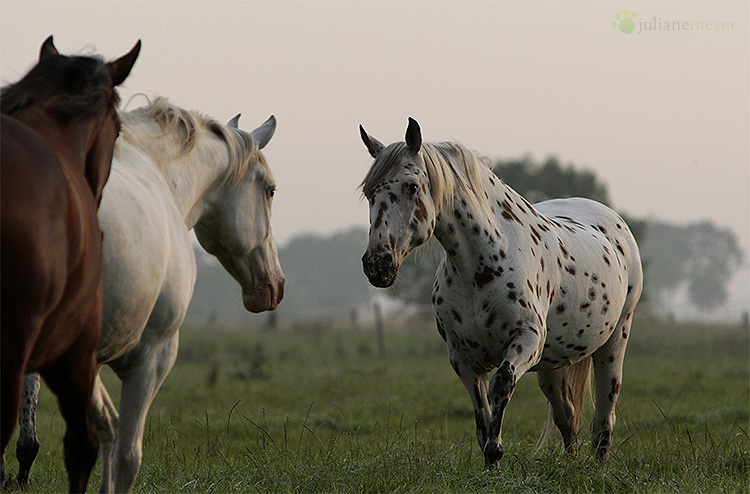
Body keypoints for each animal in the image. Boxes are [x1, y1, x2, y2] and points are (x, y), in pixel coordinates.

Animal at [17, 97, 290, 494]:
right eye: (270, 190)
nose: (275, 287)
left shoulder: (85, 357)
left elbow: (105, 429)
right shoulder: (152, 354)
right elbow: (126, 452)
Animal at [362, 118, 644, 466]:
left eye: (411, 187)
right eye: (369, 192)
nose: (377, 264)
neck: (479, 266)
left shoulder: (525, 340)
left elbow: (501, 384)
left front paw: (495, 450)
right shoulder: (462, 357)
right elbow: (481, 408)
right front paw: (489, 463)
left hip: (613, 342)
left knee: (604, 416)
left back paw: (598, 466)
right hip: (552, 365)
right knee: (566, 415)